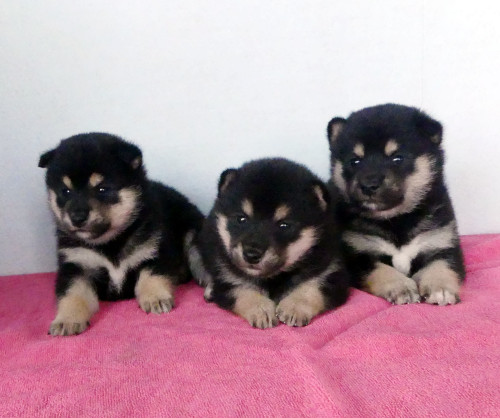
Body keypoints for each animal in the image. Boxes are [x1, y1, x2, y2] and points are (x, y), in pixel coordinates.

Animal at [39, 134, 203, 336]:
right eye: (65, 191)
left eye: (102, 189)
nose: (77, 217)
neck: (110, 242)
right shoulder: (75, 266)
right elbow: (72, 294)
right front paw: (67, 320)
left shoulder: (155, 250)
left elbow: (151, 276)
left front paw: (155, 298)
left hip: (191, 229)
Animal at [187, 158, 348, 328]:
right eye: (241, 219)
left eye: (284, 225)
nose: (251, 255)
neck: (274, 277)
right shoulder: (227, 278)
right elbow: (243, 291)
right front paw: (262, 311)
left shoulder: (331, 273)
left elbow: (312, 289)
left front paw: (294, 307)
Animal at [328, 103, 464, 306]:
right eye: (355, 161)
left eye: (397, 158)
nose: (369, 185)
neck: (396, 219)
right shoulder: (359, 255)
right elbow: (383, 271)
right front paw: (402, 288)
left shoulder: (440, 243)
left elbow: (440, 266)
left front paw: (440, 289)